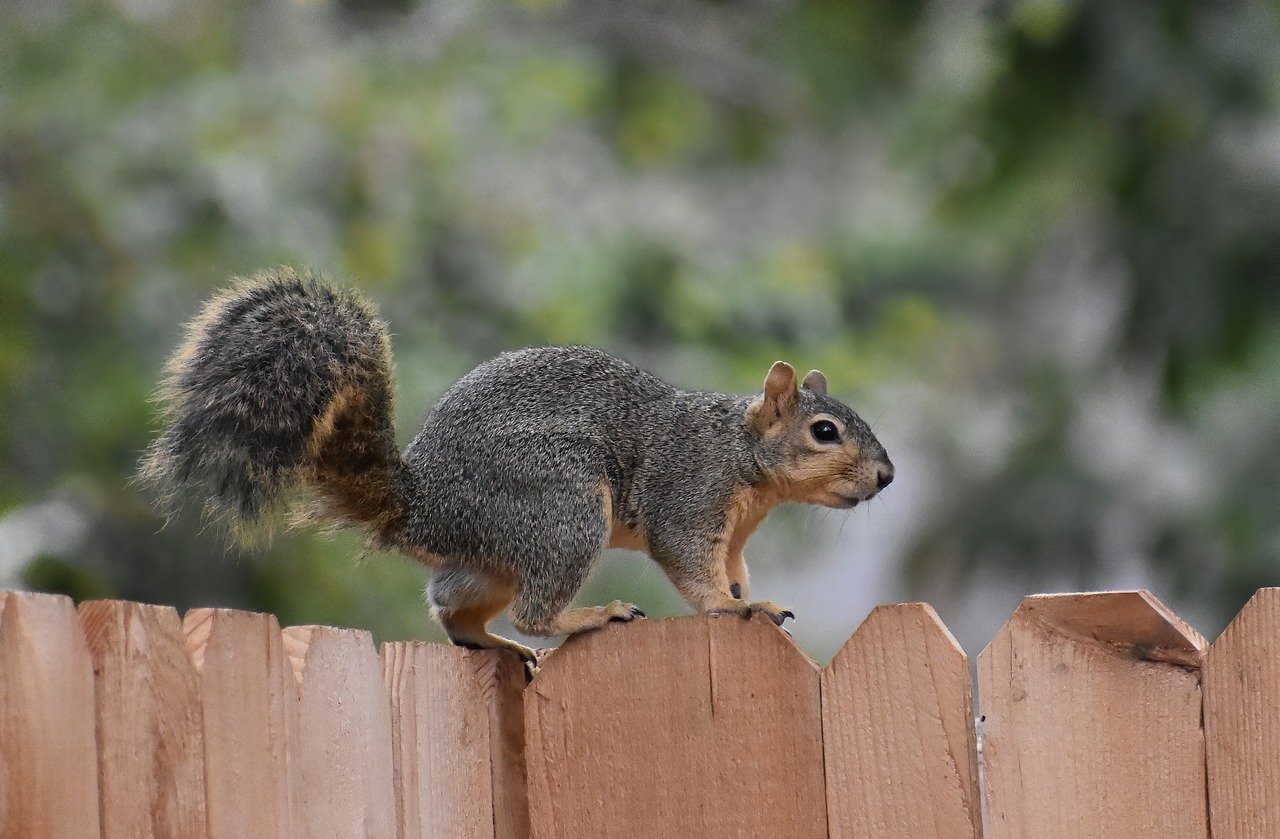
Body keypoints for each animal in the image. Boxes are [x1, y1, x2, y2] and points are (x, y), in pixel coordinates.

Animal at [140, 268, 896, 660]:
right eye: (825, 431)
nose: (888, 477)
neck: (742, 457)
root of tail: (423, 506)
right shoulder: (689, 497)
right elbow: (696, 571)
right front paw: (733, 607)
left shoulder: (733, 534)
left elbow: (734, 570)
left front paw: (752, 596)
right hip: (561, 510)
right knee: (536, 610)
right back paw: (589, 616)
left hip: (495, 554)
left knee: (453, 608)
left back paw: (495, 644)